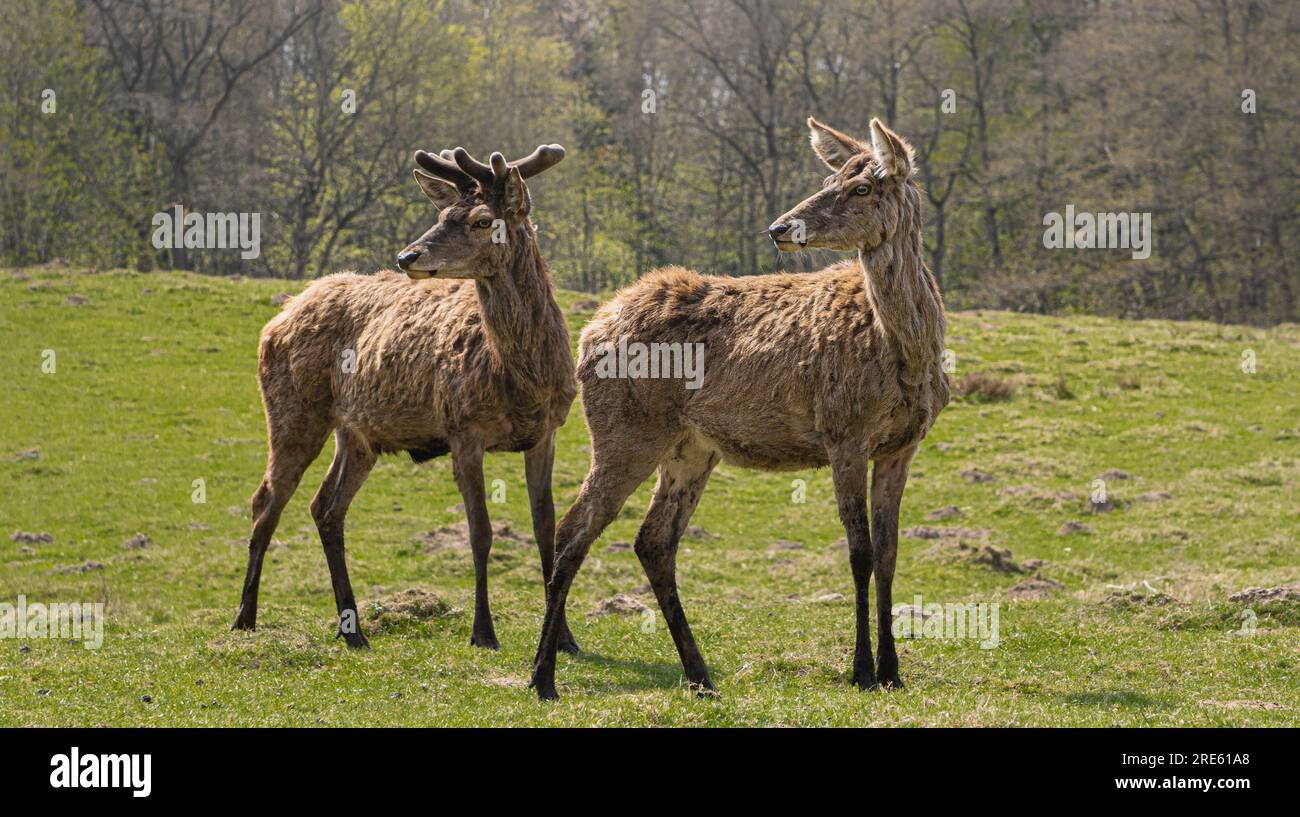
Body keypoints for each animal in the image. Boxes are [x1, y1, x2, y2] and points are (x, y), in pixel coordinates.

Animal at [233, 140, 579, 650]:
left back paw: (352, 630)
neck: (522, 381)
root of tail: (280, 316)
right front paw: (483, 633)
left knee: (325, 508)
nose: (407, 256)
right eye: (442, 214)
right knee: (266, 502)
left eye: (482, 220)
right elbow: (480, 533)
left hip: (357, 435)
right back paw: (245, 618)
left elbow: (545, 531)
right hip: (292, 412)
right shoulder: (463, 428)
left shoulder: (546, 433)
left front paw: (566, 639)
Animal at [527, 118, 946, 697]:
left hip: (690, 447)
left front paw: (893, 671)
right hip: (623, 431)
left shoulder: (903, 445)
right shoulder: (843, 431)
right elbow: (859, 551)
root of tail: (589, 332)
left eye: (862, 187)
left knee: (653, 540)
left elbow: (888, 553)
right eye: (829, 176)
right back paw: (542, 677)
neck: (907, 353)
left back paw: (699, 674)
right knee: (573, 529)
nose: (780, 227)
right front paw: (862, 670)